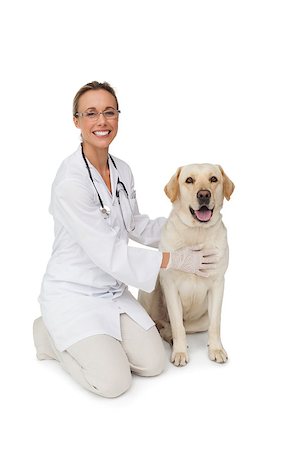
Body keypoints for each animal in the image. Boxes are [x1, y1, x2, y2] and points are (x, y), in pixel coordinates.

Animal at [138, 164, 234, 366]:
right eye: (189, 180)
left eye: (213, 179)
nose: (204, 194)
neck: (197, 232)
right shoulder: (170, 285)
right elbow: (177, 324)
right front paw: (180, 352)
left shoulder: (218, 283)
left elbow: (215, 323)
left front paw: (216, 349)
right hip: (152, 289)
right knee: (164, 324)